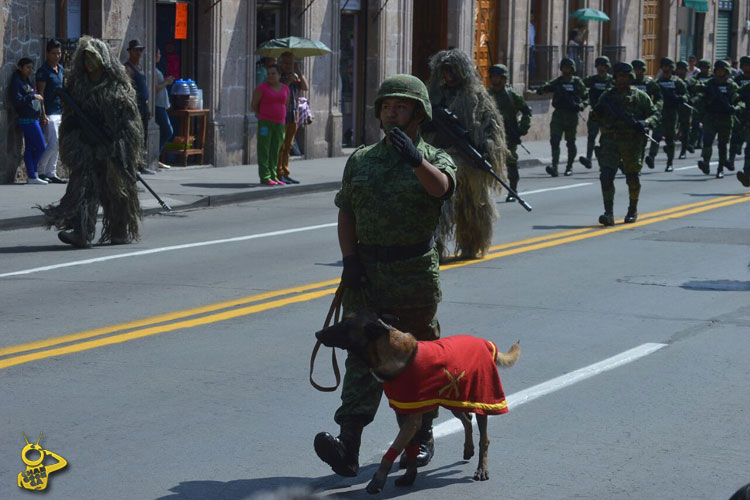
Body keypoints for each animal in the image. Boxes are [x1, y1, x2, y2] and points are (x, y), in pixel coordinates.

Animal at [314, 310, 520, 494]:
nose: (317, 333)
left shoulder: (412, 420)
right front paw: (409, 476)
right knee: (467, 420)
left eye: (344, 324)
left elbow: (391, 451)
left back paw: (481, 468)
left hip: (482, 399)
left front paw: (378, 480)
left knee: (484, 438)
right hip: (453, 399)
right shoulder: (404, 415)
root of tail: (486, 343)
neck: (392, 351)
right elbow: (410, 448)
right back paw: (468, 448)